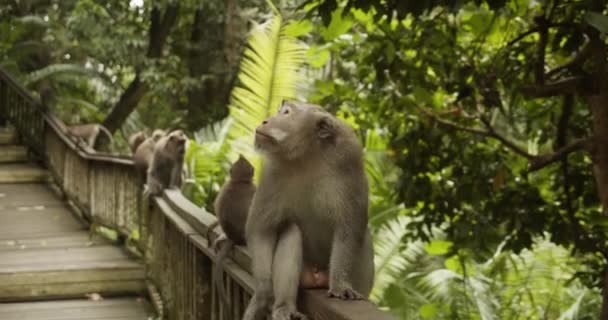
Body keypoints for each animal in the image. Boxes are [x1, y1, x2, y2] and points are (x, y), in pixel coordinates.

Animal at [243, 100, 376, 320]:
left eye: (286, 113)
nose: (265, 121)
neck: (307, 154)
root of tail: (317, 275)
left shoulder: (350, 158)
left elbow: (350, 227)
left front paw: (340, 284)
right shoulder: (272, 170)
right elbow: (261, 229)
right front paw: (262, 292)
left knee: (364, 236)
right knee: (291, 230)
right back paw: (284, 307)